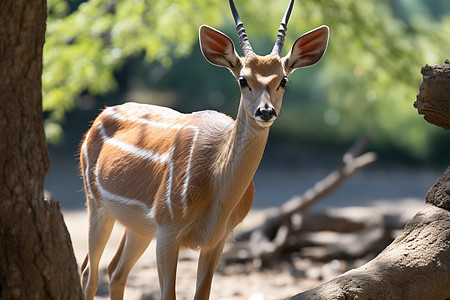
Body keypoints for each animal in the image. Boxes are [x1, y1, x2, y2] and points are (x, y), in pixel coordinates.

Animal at [79, 1, 328, 298]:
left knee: (116, 271)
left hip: (139, 225)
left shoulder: (218, 239)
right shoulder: (167, 225)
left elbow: (203, 293)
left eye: (284, 80)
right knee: (89, 272)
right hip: (96, 201)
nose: (265, 111)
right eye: (243, 80)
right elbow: (168, 293)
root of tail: (98, 118)